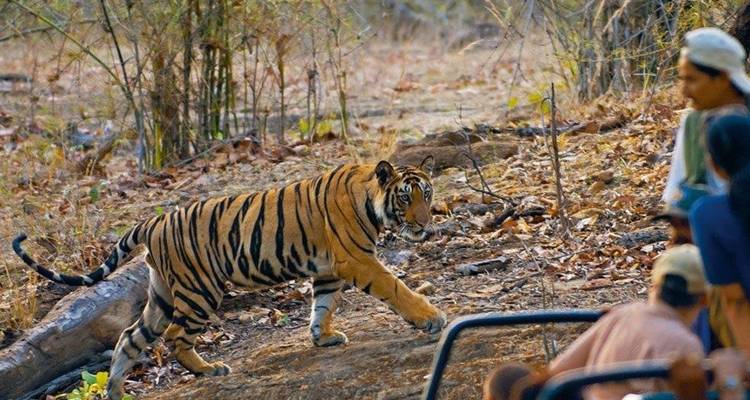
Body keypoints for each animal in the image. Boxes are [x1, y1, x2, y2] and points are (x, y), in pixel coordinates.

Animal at [12, 156, 447, 400]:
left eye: (427, 193)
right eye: (406, 197)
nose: (426, 225)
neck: (371, 201)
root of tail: (155, 221)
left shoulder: (326, 271)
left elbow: (323, 306)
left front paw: (322, 337)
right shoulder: (356, 260)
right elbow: (396, 287)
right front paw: (431, 318)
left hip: (161, 295)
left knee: (130, 338)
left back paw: (116, 393)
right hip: (199, 290)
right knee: (175, 338)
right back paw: (209, 370)